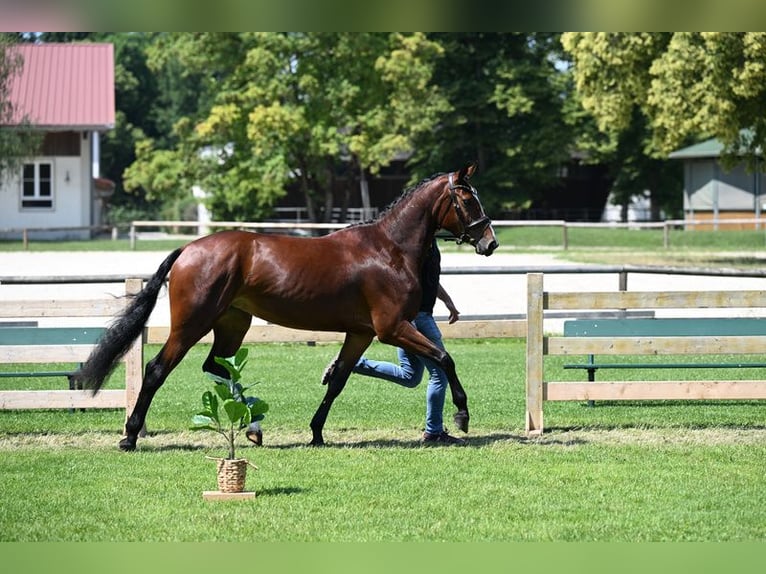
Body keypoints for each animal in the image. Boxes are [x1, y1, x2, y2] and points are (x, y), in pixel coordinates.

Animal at [73, 162, 498, 450]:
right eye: (467, 198)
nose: (489, 242)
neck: (388, 249)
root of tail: (188, 249)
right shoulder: (391, 328)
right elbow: (444, 358)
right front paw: (462, 415)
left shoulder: (360, 333)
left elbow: (339, 380)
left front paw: (316, 432)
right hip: (192, 324)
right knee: (157, 370)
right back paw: (130, 437)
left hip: (233, 323)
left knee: (216, 366)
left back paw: (254, 427)